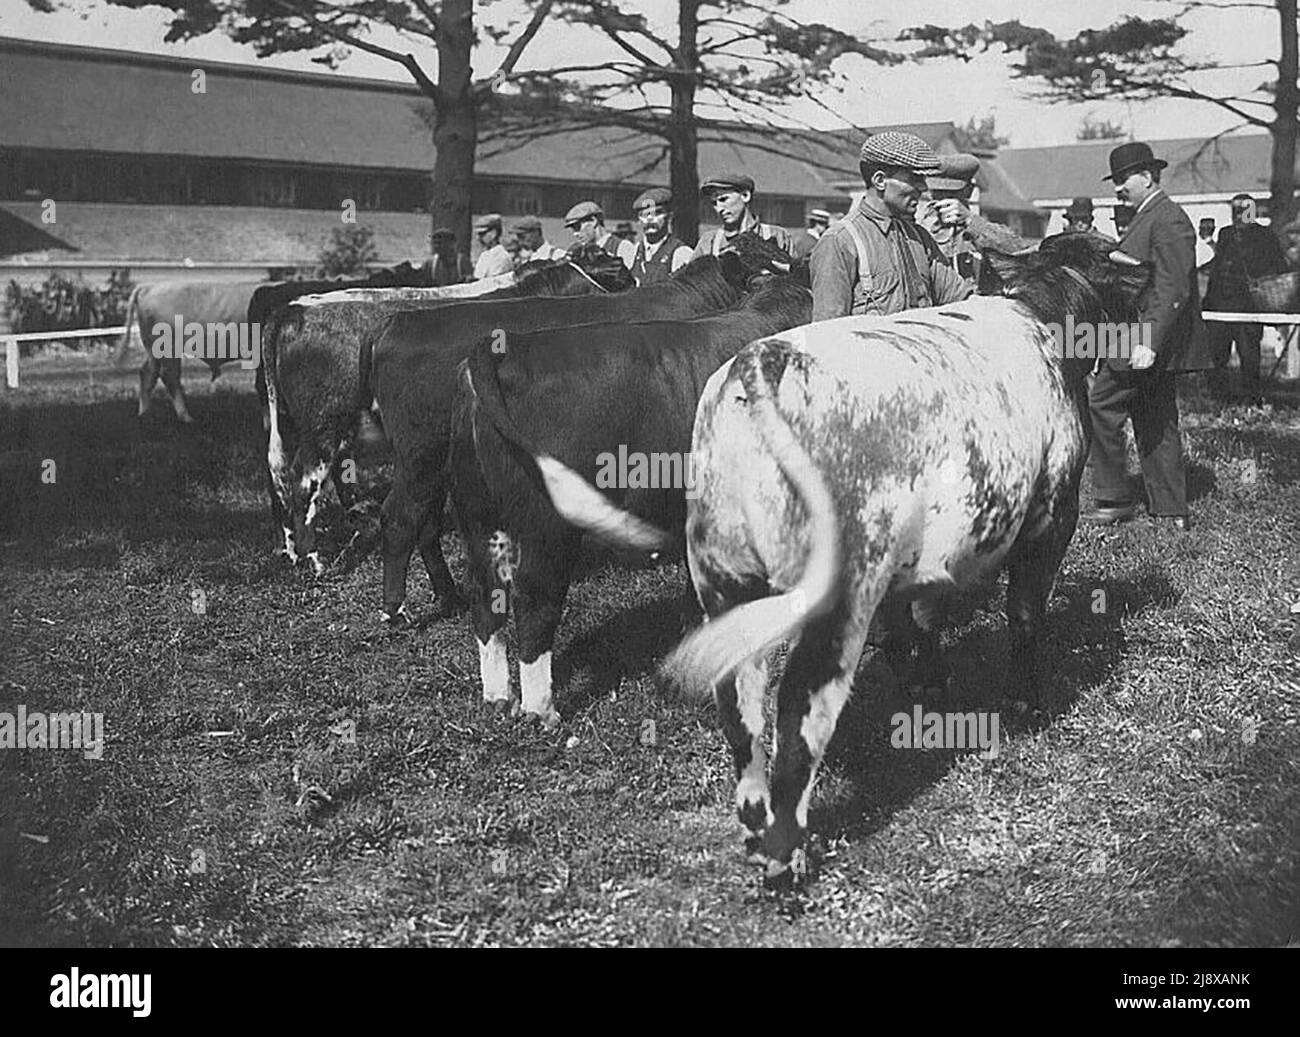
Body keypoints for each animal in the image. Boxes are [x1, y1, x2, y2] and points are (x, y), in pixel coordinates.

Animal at [265, 248, 634, 579]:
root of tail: (293, 309)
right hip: (324, 424)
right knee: (303, 481)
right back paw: (314, 560)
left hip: (294, 422)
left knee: (280, 474)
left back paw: (294, 551)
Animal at [366, 233, 790, 626]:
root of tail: (394, 322)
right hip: (419, 455)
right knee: (400, 517)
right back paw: (395, 610)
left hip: (435, 463)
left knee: (425, 523)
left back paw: (448, 596)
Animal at [447, 271, 811, 732]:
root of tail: (502, 350)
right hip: (546, 526)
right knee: (534, 598)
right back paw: (541, 710)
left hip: (477, 514)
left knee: (485, 592)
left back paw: (497, 697)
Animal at [644, 233, 1154, 883]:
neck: (1042, 318)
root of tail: (757, 364)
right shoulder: (1052, 511)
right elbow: (1024, 616)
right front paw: (1026, 707)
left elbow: (917, 622)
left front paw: (930, 689)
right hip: (834, 592)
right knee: (798, 707)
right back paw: (786, 856)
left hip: (721, 579)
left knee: (741, 704)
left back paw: (758, 832)